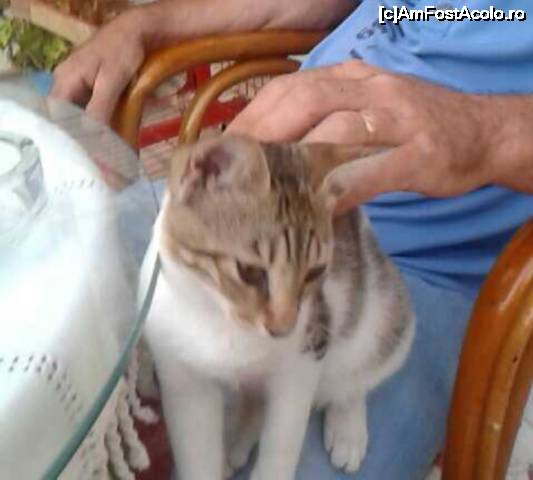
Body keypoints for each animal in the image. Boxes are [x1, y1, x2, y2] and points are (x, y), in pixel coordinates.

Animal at [141, 134, 415, 480]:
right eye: (249, 271)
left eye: (314, 272)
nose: (283, 328)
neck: (221, 320)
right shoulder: (182, 377)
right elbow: (196, 452)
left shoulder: (304, 360)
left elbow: (283, 439)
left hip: (385, 316)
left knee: (357, 375)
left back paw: (347, 426)